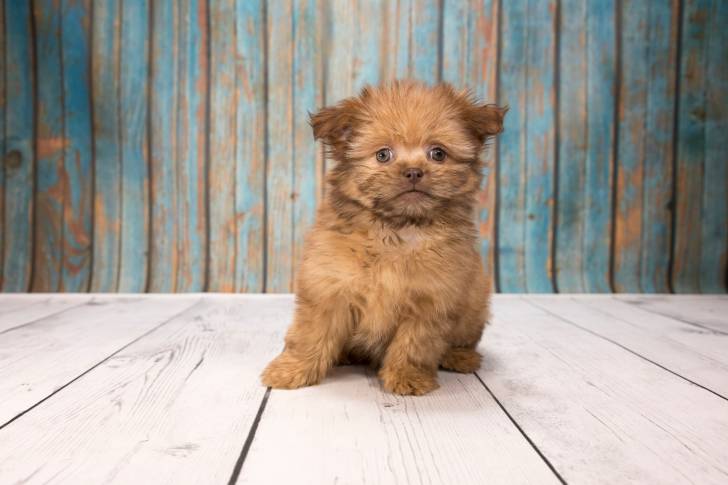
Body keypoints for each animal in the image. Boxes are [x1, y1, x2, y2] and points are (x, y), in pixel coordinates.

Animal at [262, 81, 506, 396]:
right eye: (382, 155)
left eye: (438, 153)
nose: (413, 172)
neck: (396, 230)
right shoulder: (329, 288)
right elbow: (310, 334)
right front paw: (291, 370)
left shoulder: (431, 300)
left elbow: (414, 344)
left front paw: (407, 376)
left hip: (474, 302)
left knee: (466, 338)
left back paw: (460, 356)